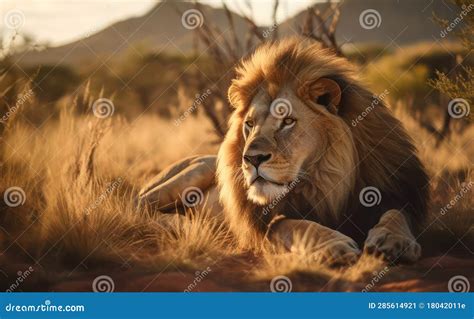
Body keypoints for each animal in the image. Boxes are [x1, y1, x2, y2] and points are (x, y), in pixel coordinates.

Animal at [138, 38, 430, 268]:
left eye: (287, 121)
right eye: (250, 124)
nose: (251, 159)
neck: (326, 181)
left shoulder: (398, 192)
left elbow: (396, 214)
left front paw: (393, 241)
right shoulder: (263, 226)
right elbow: (297, 225)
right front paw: (334, 245)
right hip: (193, 173)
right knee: (139, 207)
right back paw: (184, 224)